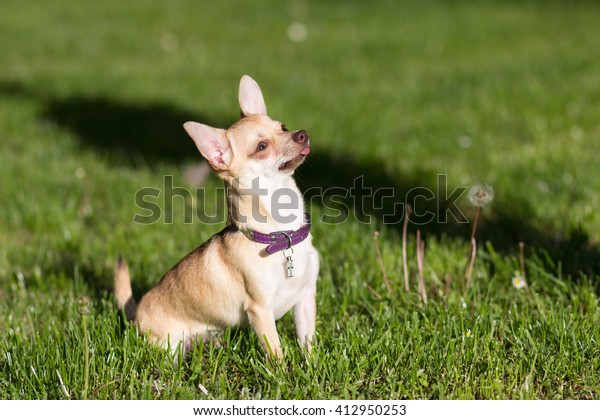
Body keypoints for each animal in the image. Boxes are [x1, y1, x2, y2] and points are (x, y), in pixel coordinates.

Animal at [113, 74, 318, 358]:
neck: (282, 237)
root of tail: (136, 315)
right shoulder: (260, 310)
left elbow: (308, 343)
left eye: (283, 127)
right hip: (168, 345)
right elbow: (275, 351)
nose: (302, 134)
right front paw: (284, 370)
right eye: (261, 146)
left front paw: (312, 365)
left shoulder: (306, 298)